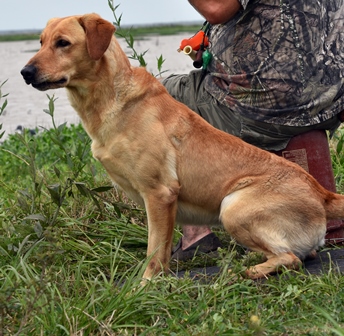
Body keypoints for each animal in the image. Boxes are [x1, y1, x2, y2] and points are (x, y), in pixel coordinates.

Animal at [20, 13, 344, 280]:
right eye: (41, 42)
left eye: (63, 43)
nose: (25, 72)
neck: (109, 99)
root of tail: (322, 193)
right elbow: (160, 250)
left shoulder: (160, 194)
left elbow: (154, 250)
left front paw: (145, 287)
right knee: (303, 253)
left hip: (233, 207)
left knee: (291, 258)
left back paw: (254, 269)